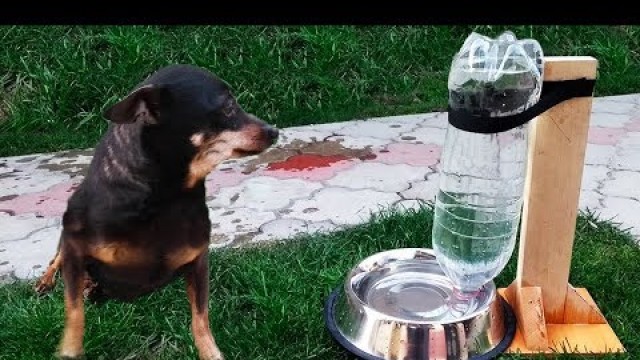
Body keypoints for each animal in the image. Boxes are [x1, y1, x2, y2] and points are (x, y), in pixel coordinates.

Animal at [32, 64, 278, 360]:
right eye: (229, 107)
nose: (275, 131)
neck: (167, 199)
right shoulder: (74, 245)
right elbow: (74, 309)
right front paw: (69, 348)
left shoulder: (199, 261)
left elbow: (200, 319)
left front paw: (211, 353)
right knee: (56, 258)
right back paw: (48, 281)